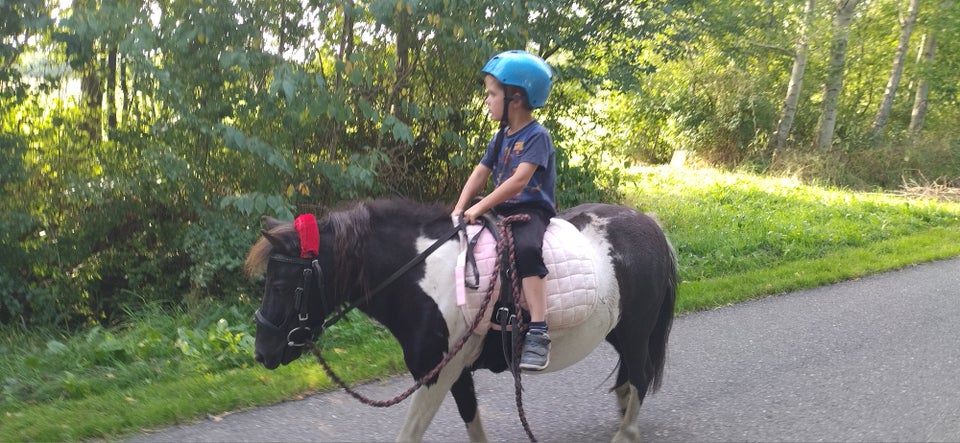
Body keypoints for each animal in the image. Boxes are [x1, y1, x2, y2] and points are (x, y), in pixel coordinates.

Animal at [244, 199, 680, 442]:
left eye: (281, 284)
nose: (262, 353)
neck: (421, 277)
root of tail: (648, 223)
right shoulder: (455, 372)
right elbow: (471, 421)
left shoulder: (438, 372)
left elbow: (410, 434)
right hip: (618, 331)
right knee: (629, 377)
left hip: (636, 331)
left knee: (640, 376)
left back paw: (625, 434)